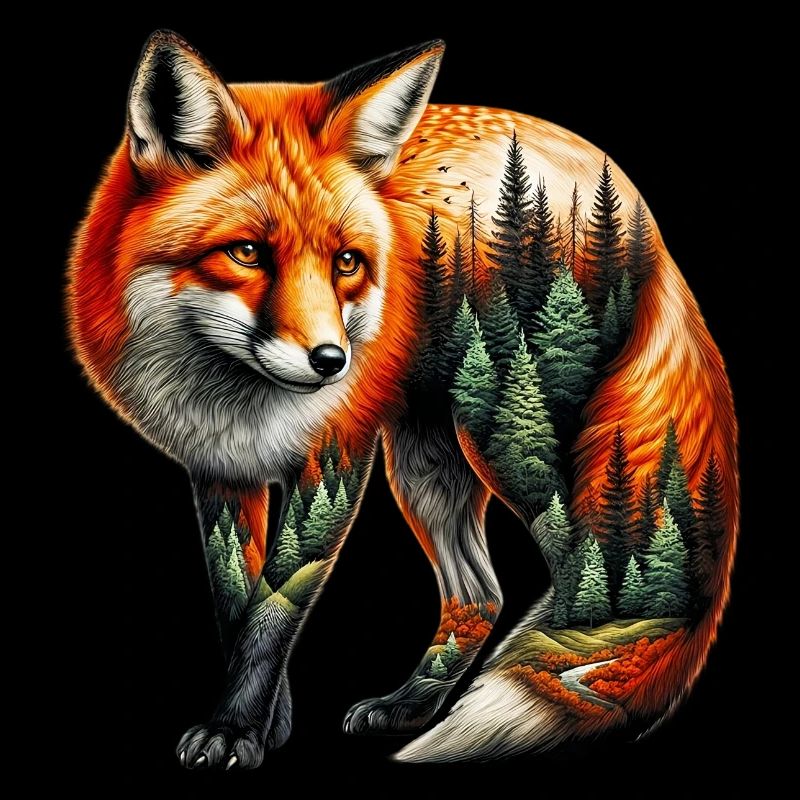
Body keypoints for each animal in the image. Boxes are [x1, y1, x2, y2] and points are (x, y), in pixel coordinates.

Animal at [68, 30, 738, 769]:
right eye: (246, 253)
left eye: (347, 263)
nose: (331, 362)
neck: (235, 401)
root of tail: (613, 180)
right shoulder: (220, 472)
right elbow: (237, 606)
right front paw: (270, 720)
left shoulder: (333, 460)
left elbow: (273, 611)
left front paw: (235, 729)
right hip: (426, 469)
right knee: (482, 593)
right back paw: (414, 704)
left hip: (518, 445)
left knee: (581, 573)